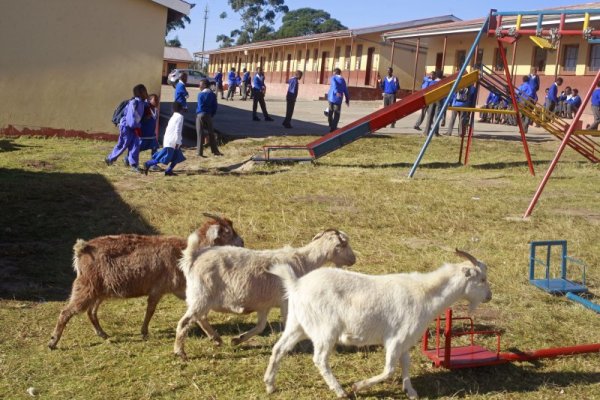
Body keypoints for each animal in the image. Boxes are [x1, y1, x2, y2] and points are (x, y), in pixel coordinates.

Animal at [48, 214, 243, 348]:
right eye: (227, 232)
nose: (242, 242)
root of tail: (82, 249)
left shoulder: (181, 289)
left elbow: (198, 314)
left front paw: (215, 338)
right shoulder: (159, 288)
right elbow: (150, 310)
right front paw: (144, 332)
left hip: (99, 290)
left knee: (91, 312)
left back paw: (102, 334)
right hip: (86, 287)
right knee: (66, 312)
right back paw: (53, 342)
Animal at [173, 228, 354, 360]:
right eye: (344, 244)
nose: (354, 259)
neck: (304, 261)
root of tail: (193, 257)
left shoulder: (264, 305)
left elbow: (260, 326)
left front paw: (238, 339)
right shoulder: (286, 301)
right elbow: (287, 324)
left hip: (201, 298)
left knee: (200, 318)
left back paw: (216, 339)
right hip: (202, 295)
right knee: (186, 322)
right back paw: (180, 352)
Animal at [264, 248, 490, 398]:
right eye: (482, 279)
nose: (489, 296)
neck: (425, 294)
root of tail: (296, 284)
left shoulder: (405, 340)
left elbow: (406, 364)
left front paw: (411, 391)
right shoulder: (395, 339)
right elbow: (389, 370)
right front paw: (358, 386)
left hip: (297, 324)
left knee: (279, 348)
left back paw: (269, 384)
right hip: (325, 330)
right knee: (319, 359)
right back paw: (340, 391)